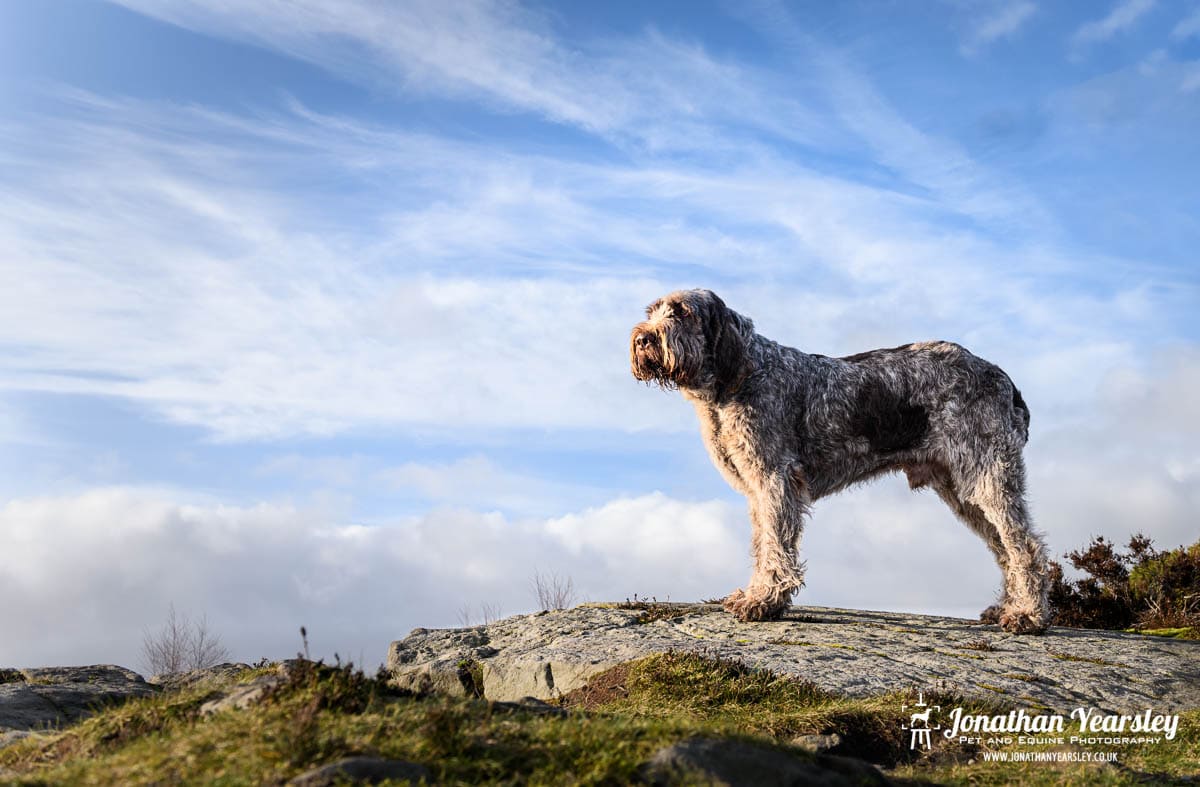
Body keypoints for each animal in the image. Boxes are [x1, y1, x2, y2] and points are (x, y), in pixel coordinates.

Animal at [628, 287, 1051, 633]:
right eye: (652, 310)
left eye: (682, 311)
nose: (643, 338)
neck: (738, 377)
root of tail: (1001, 378)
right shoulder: (757, 491)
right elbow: (763, 544)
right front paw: (757, 595)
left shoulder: (776, 480)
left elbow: (777, 545)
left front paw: (765, 600)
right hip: (962, 490)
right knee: (1003, 548)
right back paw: (1007, 607)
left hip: (988, 475)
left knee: (1024, 546)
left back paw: (1029, 615)